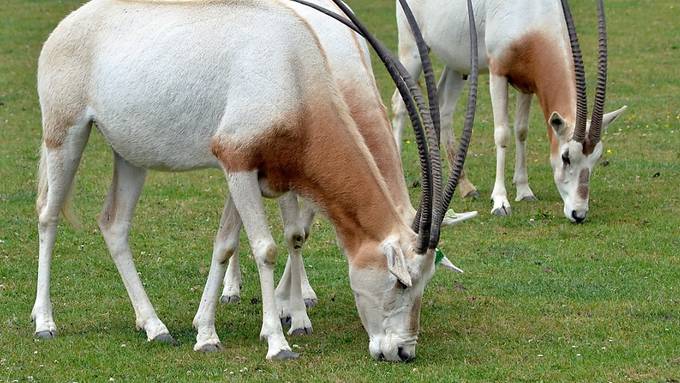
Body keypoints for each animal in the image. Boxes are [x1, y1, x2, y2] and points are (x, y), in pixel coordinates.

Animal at [33, 0, 478, 364]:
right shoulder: (237, 161)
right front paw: (279, 343)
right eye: (401, 283)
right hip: (65, 134)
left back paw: (154, 326)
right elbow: (265, 248)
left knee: (114, 225)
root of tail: (68, 25)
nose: (403, 352)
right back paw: (45, 323)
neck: (293, 68)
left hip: (130, 156)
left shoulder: (247, 169)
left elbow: (228, 244)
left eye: (426, 282)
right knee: (48, 216)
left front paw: (206, 334)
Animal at [390, 0, 628, 222]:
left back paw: (466, 187)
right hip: (412, 50)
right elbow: (502, 133)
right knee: (398, 104)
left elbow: (521, 131)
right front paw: (500, 202)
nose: (578, 213)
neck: (532, 17)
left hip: (458, 65)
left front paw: (524, 190)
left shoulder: (528, 83)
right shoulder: (498, 73)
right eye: (566, 156)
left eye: (596, 158)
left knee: (444, 107)